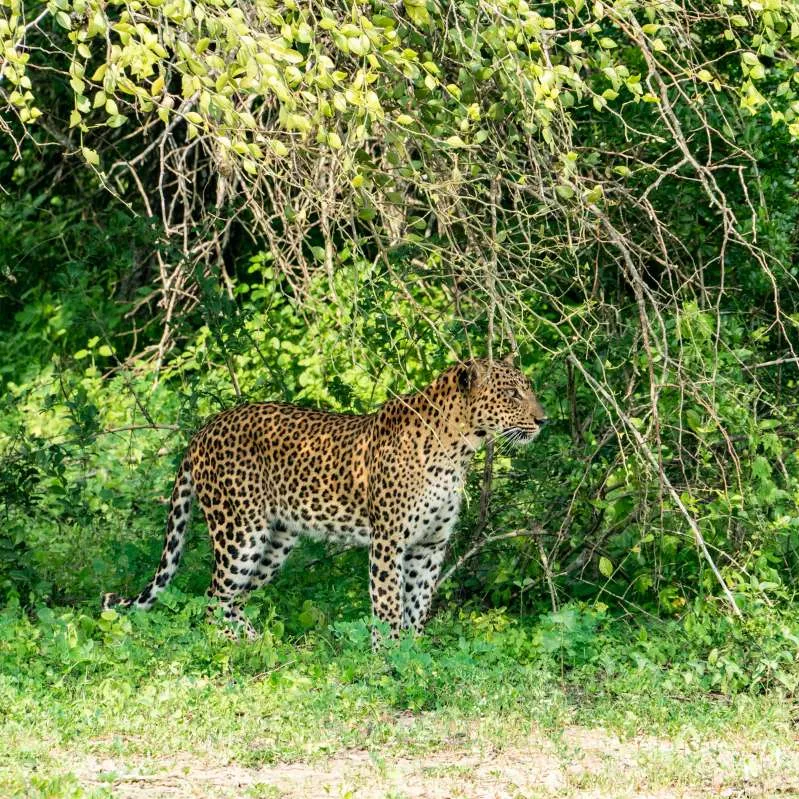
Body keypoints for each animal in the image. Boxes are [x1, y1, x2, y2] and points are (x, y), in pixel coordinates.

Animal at [101, 356, 552, 636]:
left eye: (528, 389)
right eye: (512, 395)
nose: (544, 420)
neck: (459, 447)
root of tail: (204, 428)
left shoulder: (429, 545)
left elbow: (417, 606)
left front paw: (414, 653)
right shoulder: (389, 542)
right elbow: (388, 608)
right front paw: (388, 660)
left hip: (275, 543)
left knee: (233, 600)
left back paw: (258, 642)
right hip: (240, 533)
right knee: (213, 598)